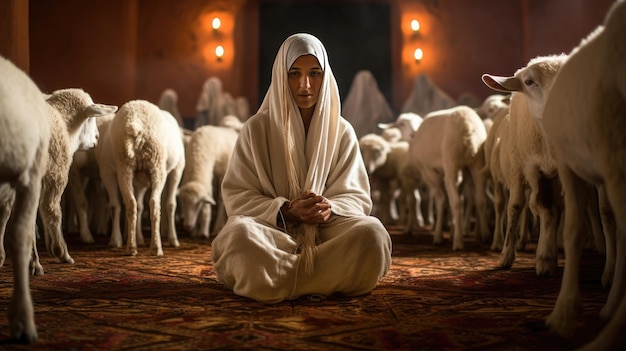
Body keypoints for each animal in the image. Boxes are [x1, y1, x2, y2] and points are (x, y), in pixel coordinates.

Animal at [102, 100, 184, 258]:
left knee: (131, 204)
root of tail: (136, 124)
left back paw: (132, 247)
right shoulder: (177, 169)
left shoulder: (139, 182)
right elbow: (171, 204)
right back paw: (156, 247)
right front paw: (173, 239)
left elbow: (139, 206)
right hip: (157, 165)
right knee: (155, 204)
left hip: (124, 166)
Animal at [404, 105, 488, 250]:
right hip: (477, 162)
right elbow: (452, 198)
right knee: (480, 200)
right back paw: (484, 237)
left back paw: (458, 242)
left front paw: (439, 236)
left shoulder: (429, 171)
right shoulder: (463, 172)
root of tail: (468, 127)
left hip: (451, 162)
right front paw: (451, 230)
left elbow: (442, 200)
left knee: (457, 202)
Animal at [480, 54, 568, 278]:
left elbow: (555, 207)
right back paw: (503, 250)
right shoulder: (529, 167)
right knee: (510, 205)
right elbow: (538, 206)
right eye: (528, 82)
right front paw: (543, 259)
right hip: (512, 169)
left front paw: (548, 253)